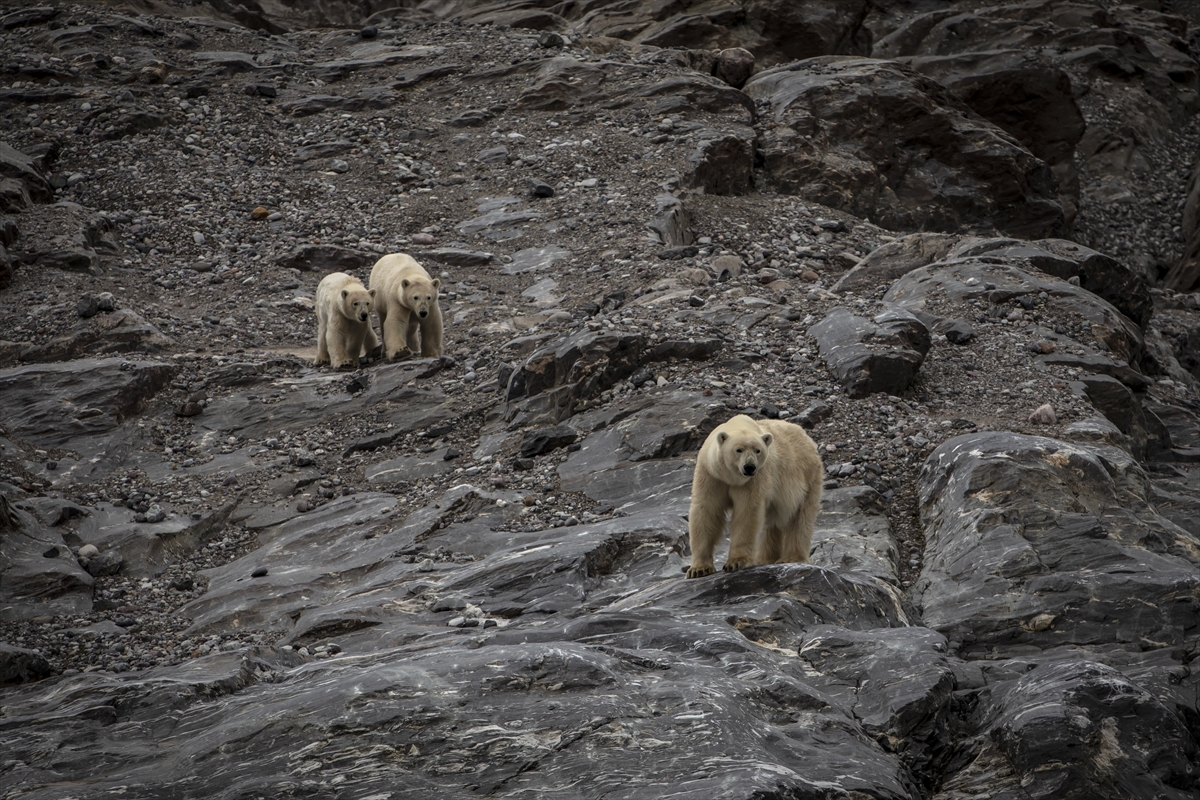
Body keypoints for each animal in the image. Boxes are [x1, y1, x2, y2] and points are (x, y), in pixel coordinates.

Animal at [686, 417, 825, 578]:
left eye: (758, 450)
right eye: (738, 449)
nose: (749, 467)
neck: (732, 478)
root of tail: (807, 437)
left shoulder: (755, 479)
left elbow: (747, 511)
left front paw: (736, 562)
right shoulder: (711, 475)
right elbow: (706, 510)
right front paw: (699, 569)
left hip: (808, 477)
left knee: (800, 518)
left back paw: (791, 558)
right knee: (769, 524)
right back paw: (765, 559)